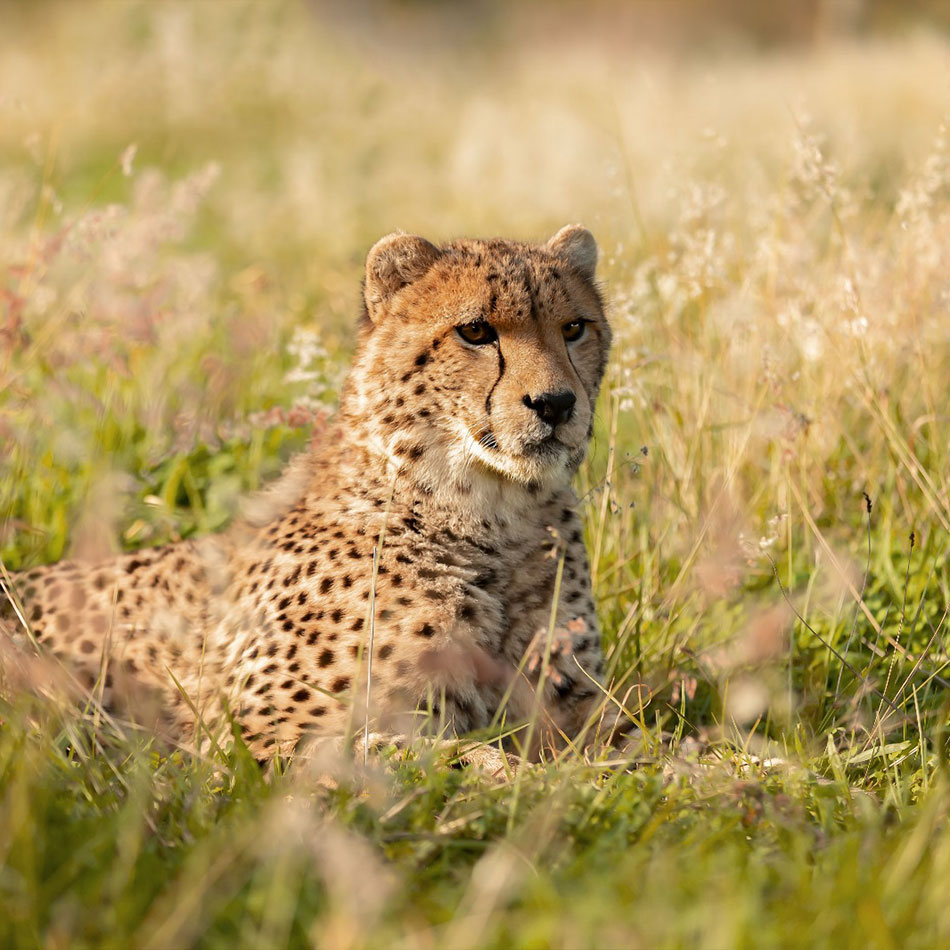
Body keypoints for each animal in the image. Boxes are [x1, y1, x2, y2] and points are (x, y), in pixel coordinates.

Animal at [0, 224, 622, 760]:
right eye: (475, 331)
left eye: (574, 328)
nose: (555, 404)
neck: (493, 516)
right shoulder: (259, 732)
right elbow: (437, 757)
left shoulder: (576, 705)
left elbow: (629, 751)